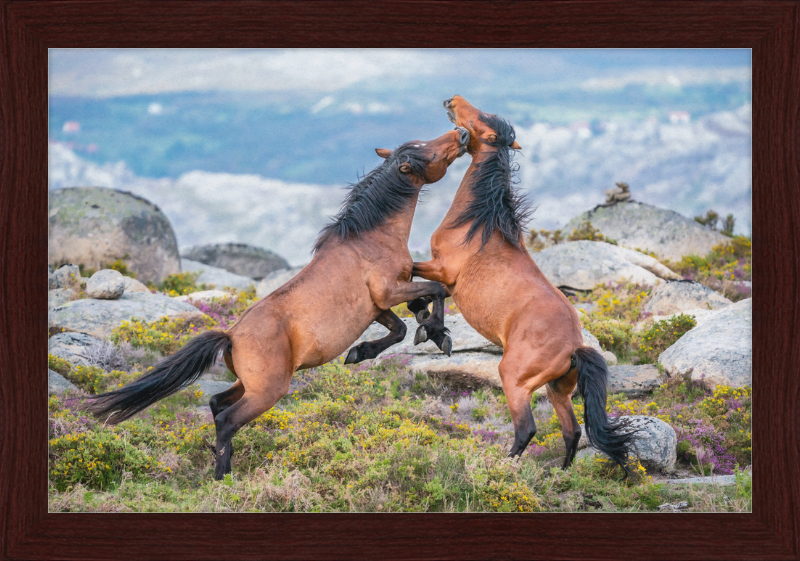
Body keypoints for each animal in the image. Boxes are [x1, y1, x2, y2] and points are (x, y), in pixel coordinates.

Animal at [89, 126, 468, 476]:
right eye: (429, 152)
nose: (462, 133)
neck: (371, 239)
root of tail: (231, 336)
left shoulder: (377, 306)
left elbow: (401, 327)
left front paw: (364, 351)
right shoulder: (388, 291)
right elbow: (435, 291)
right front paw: (438, 334)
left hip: (248, 385)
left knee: (216, 403)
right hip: (267, 391)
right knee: (226, 419)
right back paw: (223, 477)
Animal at [410, 97, 636, 472]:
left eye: (481, 120)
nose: (452, 102)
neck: (479, 225)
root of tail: (574, 348)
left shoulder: (441, 270)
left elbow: (417, 281)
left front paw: (430, 329)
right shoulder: (446, 279)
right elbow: (432, 293)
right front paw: (434, 332)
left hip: (514, 380)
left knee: (527, 428)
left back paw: (502, 467)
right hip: (558, 390)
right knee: (573, 430)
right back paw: (560, 474)